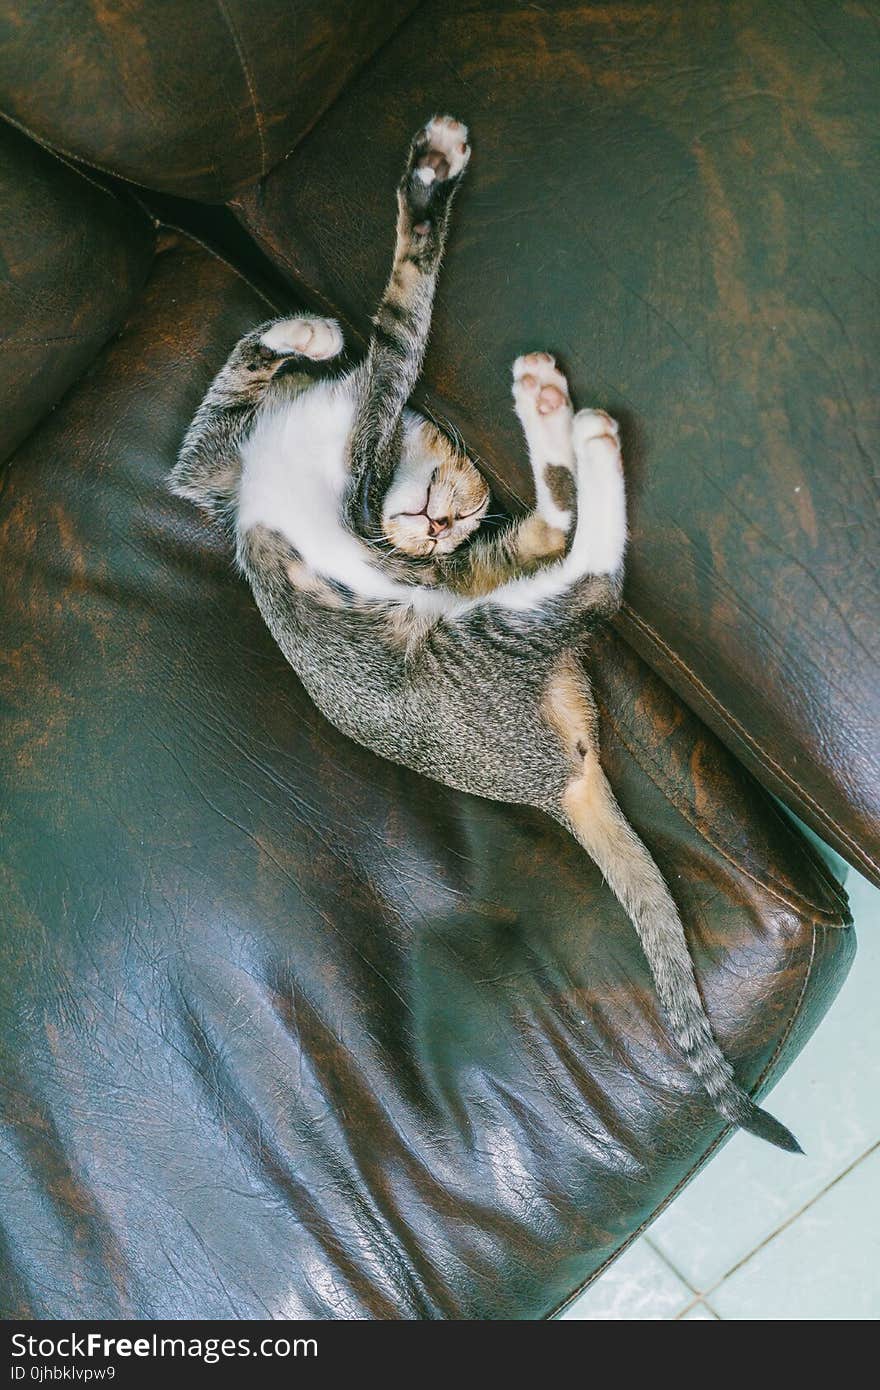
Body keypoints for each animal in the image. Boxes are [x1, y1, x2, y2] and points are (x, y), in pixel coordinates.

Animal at [168, 116, 800, 1150]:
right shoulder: (216, 480)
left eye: (460, 512)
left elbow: (397, 323)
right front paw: (309, 329)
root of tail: (558, 780)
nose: (436, 532)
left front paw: (419, 197)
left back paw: (573, 427)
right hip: (479, 617)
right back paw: (557, 414)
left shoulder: (351, 480)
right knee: (572, 558)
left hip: (471, 628)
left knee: (589, 571)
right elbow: (263, 373)